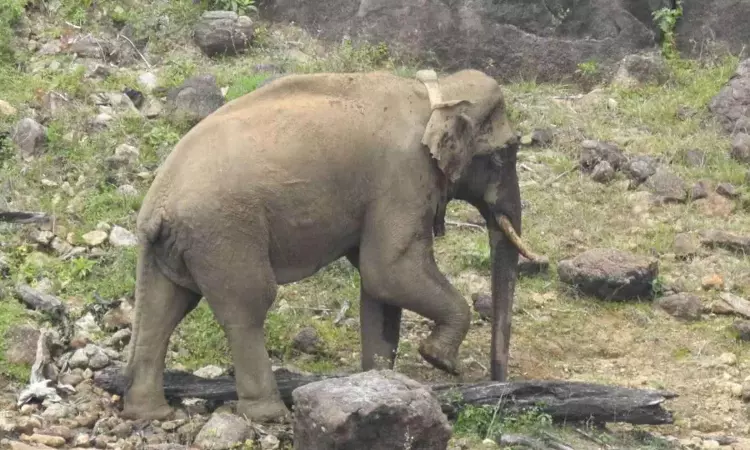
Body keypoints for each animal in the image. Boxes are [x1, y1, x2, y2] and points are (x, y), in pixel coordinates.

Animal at [121, 68, 542, 423]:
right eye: (505, 154)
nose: (499, 384)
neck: (432, 93)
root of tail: (154, 206)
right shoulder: (403, 177)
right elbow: (389, 270)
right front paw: (439, 360)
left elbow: (379, 288)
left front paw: (380, 382)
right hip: (224, 232)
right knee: (247, 308)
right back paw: (270, 414)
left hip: (178, 245)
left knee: (163, 309)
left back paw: (150, 413)